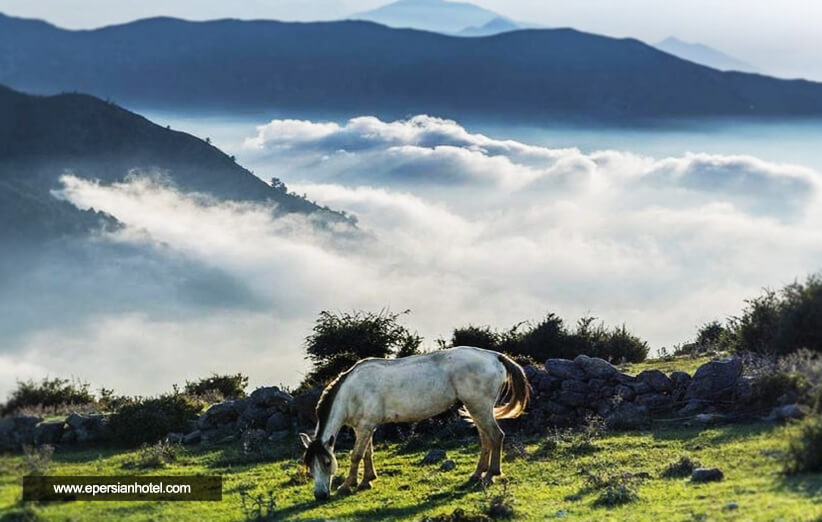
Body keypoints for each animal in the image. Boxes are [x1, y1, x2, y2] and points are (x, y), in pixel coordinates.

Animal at [300, 344, 532, 498]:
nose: (320, 495)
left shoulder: (365, 427)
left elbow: (356, 455)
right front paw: (367, 480)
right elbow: (368, 454)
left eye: (327, 462)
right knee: (486, 439)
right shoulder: (365, 427)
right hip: (477, 409)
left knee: (496, 436)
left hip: (480, 407)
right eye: (309, 465)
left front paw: (347, 485)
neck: (352, 392)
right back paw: (476, 474)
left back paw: (491, 474)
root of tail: (494, 356)